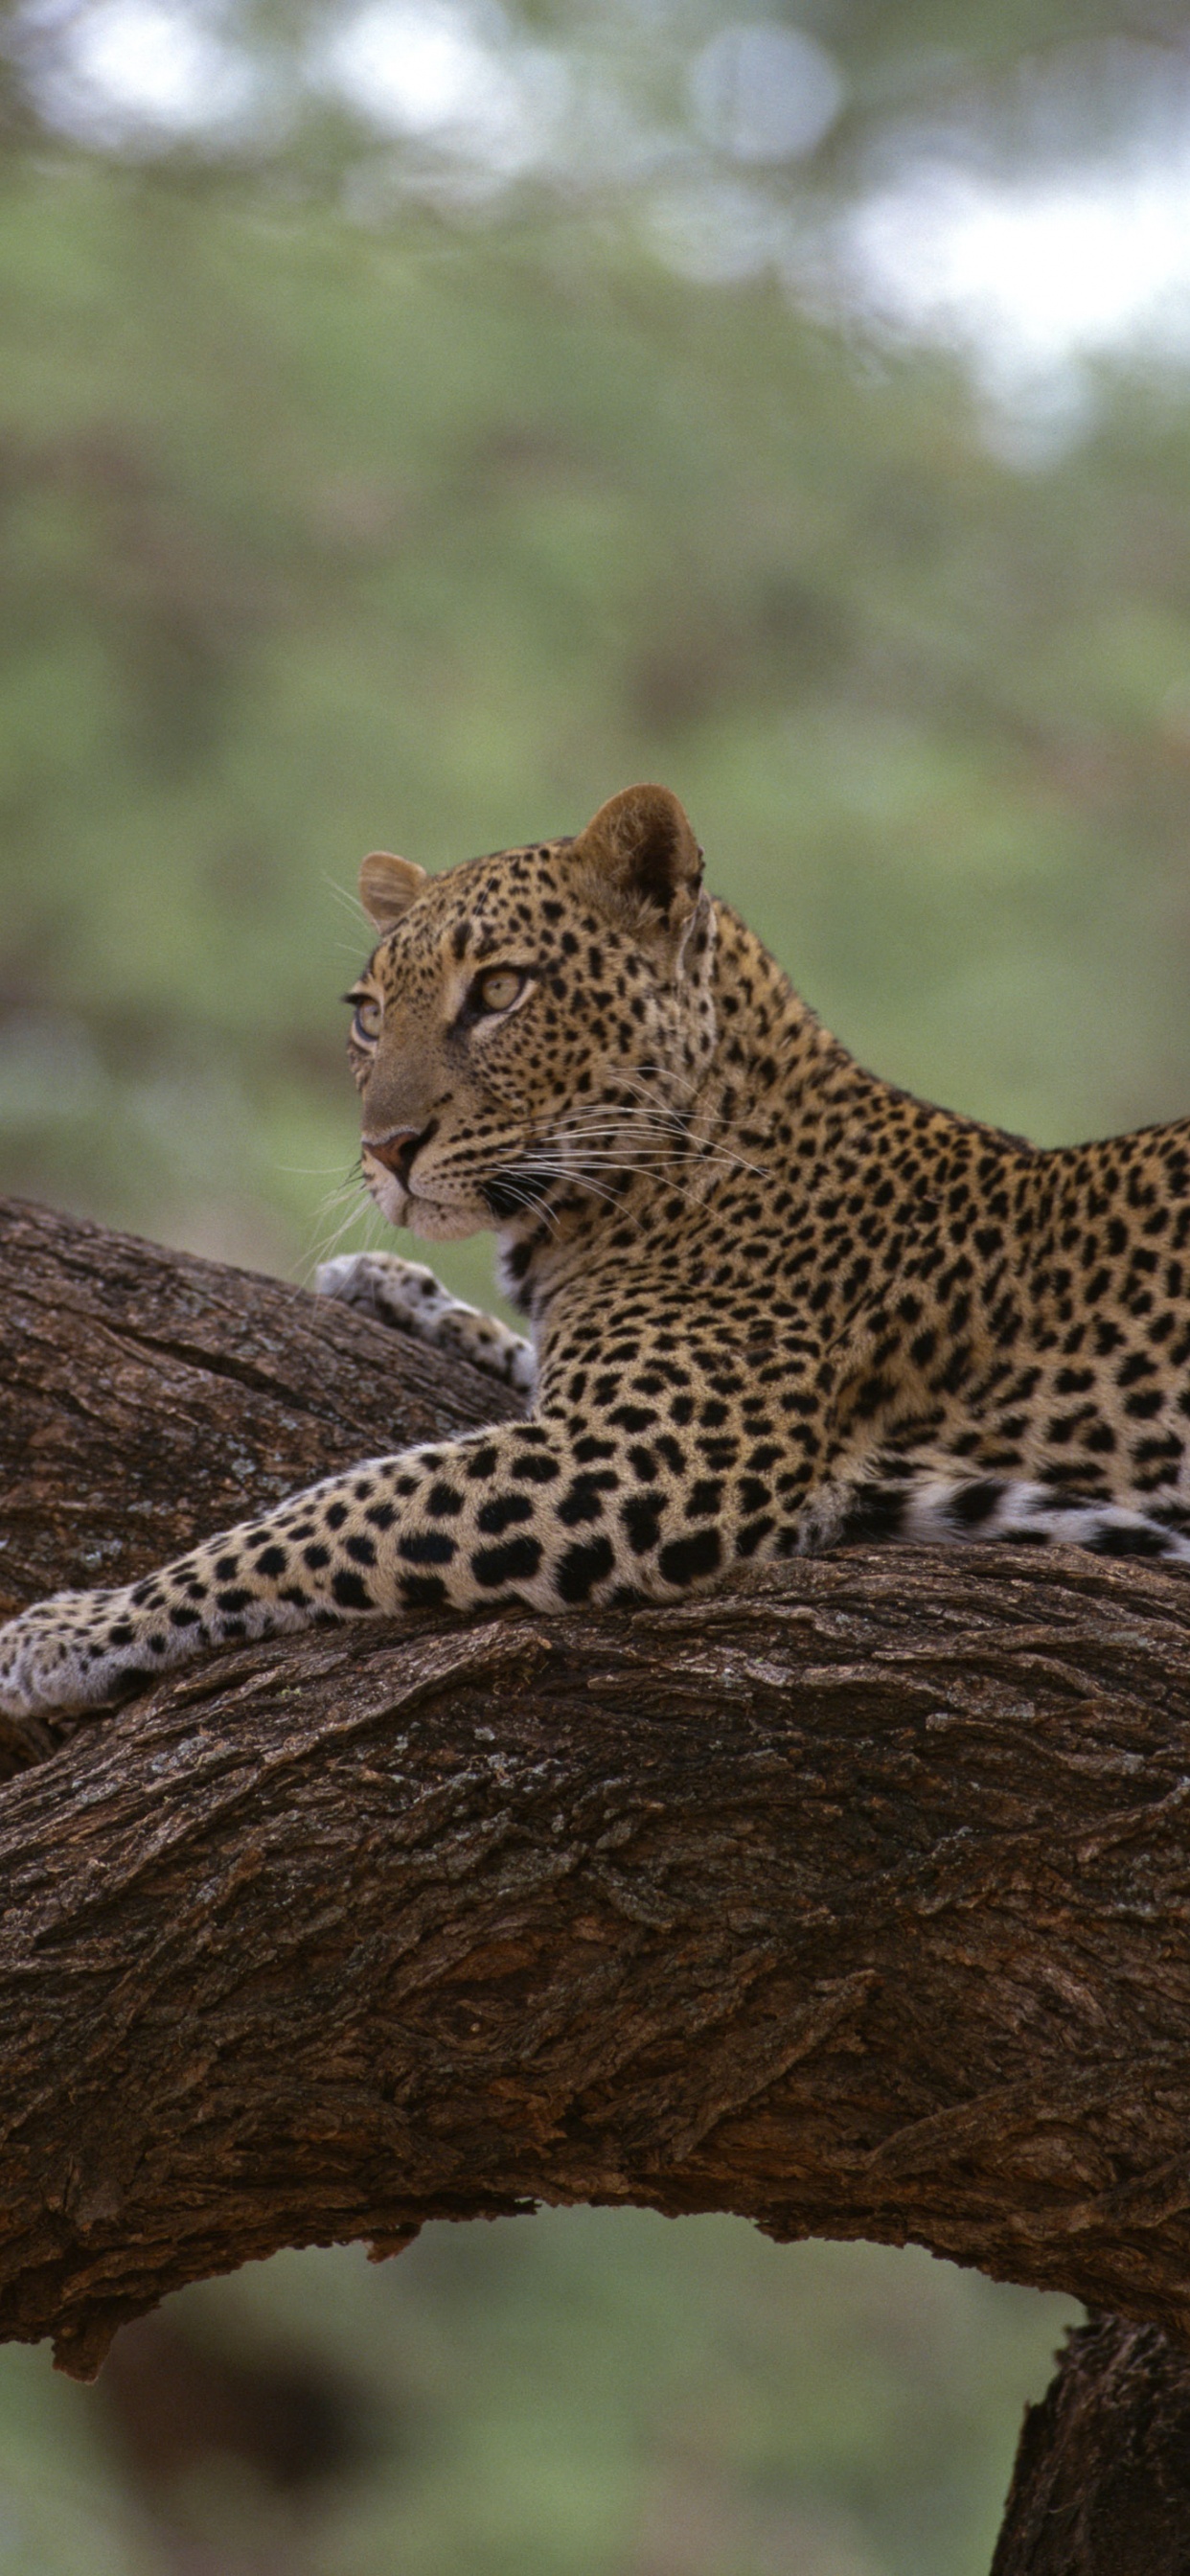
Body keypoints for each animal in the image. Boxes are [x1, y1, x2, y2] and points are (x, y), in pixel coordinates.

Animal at [5, 777, 1190, 1724]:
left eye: (498, 990)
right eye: (368, 1014)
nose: (384, 1150)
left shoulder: (645, 1456)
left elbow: (331, 1511)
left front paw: (73, 1629)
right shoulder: (592, 1404)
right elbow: (501, 1361)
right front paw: (389, 1287)